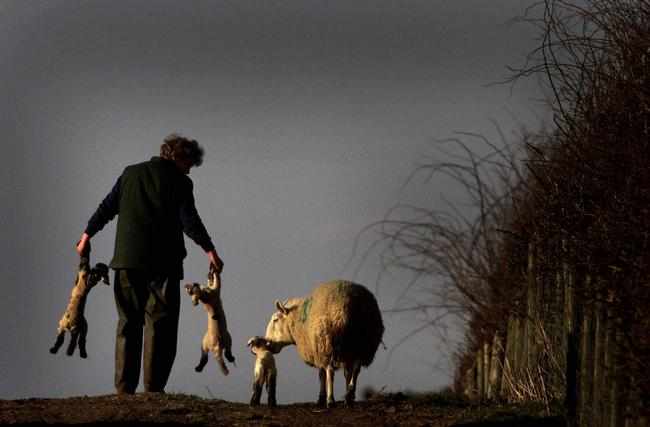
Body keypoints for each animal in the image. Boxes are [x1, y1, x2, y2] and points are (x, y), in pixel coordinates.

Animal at [264, 280, 384, 408]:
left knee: (330, 371)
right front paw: (347, 396)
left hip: (328, 342)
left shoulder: (317, 349)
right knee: (356, 369)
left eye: (275, 320)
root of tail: (350, 304)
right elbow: (347, 373)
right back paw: (349, 395)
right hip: (363, 344)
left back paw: (330, 400)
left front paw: (321, 398)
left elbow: (321, 374)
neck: (298, 322)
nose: (267, 343)